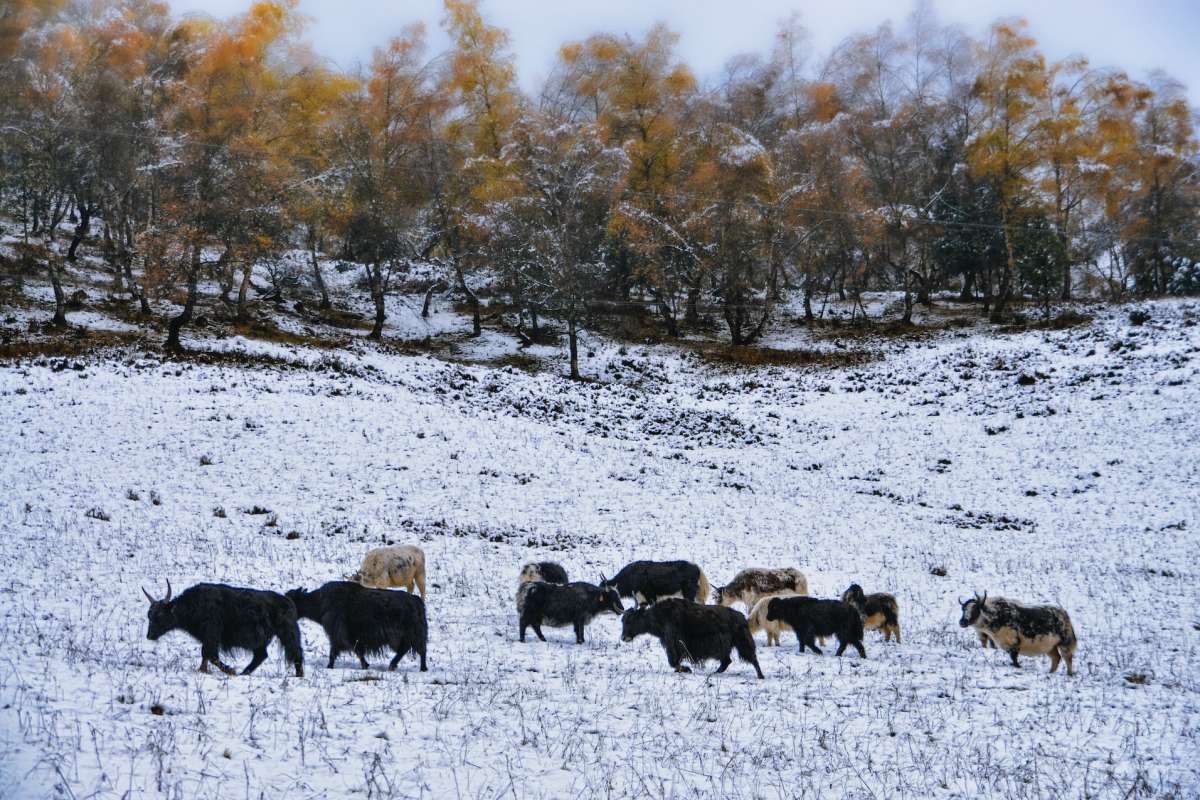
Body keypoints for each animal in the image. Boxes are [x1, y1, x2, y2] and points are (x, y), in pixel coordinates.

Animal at [144, 582, 304, 676]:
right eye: (149, 615)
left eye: (159, 615)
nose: (149, 635)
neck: (192, 605)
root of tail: (288, 601)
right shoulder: (207, 637)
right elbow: (206, 655)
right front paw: (202, 670)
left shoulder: (211, 634)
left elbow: (211, 654)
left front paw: (230, 670)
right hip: (261, 641)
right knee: (261, 656)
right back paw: (244, 673)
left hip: (286, 633)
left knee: (296, 653)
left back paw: (299, 675)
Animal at [285, 582, 427, 671]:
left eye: (291, 599)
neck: (320, 602)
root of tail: (417, 601)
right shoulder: (352, 637)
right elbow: (357, 651)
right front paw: (365, 665)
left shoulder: (338, 633)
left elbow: (336, 651)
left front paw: (329, 666)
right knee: (410, 649)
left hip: (409, 634)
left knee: (416, 650)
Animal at [624, 597, 763, 681]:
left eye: (631, 619)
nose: (623, 637)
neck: (658, 616)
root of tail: (742, 617)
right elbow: (673, 661)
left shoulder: (674, 643)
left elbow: (673, 661)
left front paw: (687, 669)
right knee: (727, 661)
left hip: (742, 643)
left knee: (750, 659)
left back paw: (760, 676)